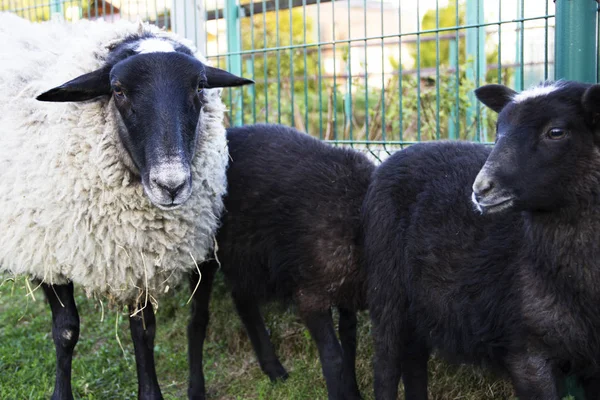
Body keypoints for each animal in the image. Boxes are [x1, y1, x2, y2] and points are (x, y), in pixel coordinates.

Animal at [0, 13, 252, 400]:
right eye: (117, 90)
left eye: (200, 86)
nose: (171, 184)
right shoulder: (46, 252)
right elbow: (66, 331)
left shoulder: (140, 257)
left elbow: (144, 332)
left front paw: (150, 392)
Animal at [360, 81, 600, 400]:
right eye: (498, 129)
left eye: (556, 132)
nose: (481, 189)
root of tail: (398, 154)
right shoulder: (527, 352)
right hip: (387, 290)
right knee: (385, 366)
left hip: (421, 305)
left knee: (414, 361)